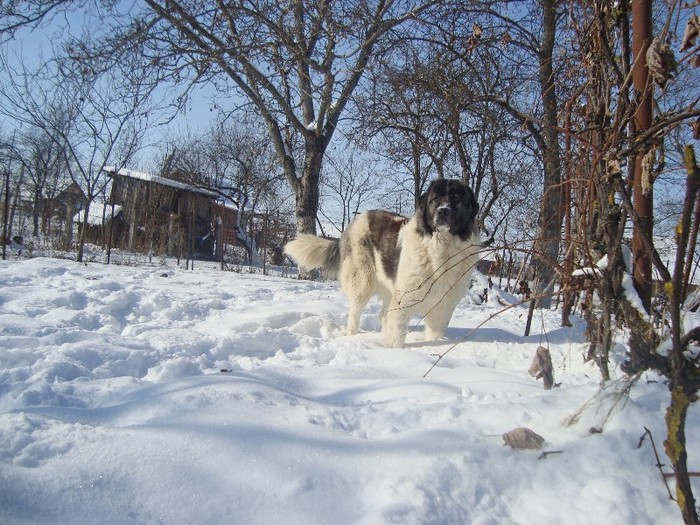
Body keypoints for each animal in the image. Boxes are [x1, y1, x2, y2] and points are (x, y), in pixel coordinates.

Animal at [284, 178, 482, 346]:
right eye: (435, 200)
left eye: (456, 199)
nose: (443, 211)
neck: (442, 249)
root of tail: (355, 220)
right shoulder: (404, 299)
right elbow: (397, 334)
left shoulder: (443, 306)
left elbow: (434, 334)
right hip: (362, 281)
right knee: (355, 313)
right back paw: (351, 336)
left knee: (382, 316)